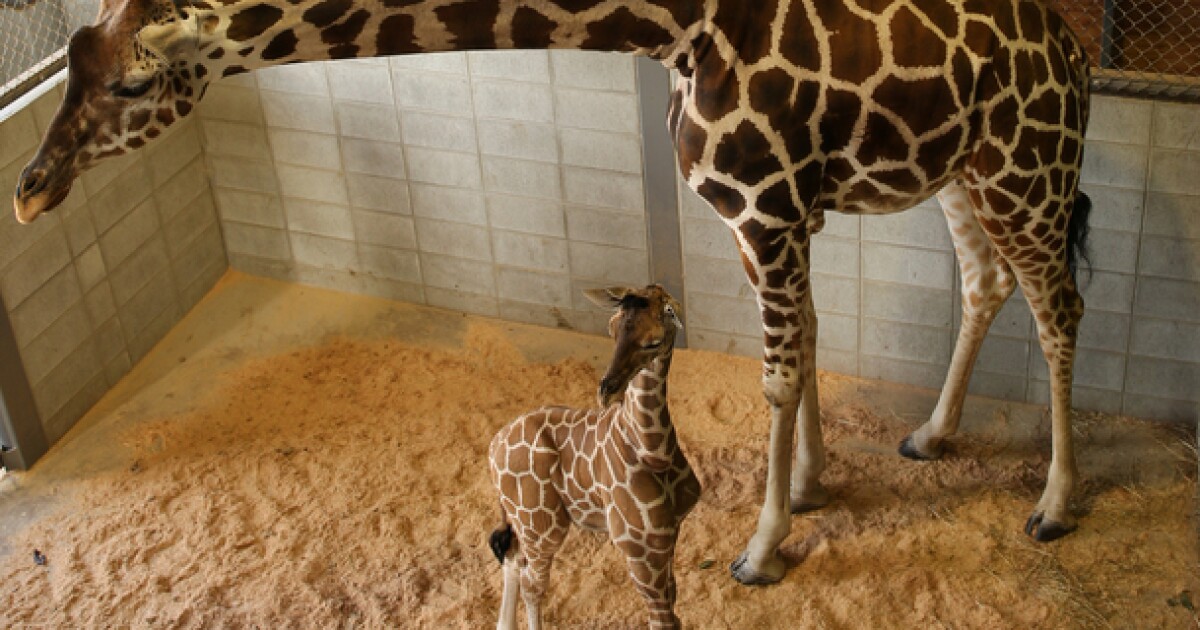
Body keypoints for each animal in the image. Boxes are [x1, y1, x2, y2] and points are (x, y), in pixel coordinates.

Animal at [12, 0, 1094, 586]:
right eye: (69, 63)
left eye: (132, 86)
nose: (28, 190)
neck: (677, 26)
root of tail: (1077, 55)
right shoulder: (776, 213)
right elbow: (811, 348)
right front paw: (811, 485)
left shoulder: (766, 206)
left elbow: (780, 376)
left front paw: (761, 548)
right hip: (964, 170)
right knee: (988, 278)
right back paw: (933, 433)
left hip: (1027, 165)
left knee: (1059, 306)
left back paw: (1052, 506)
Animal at [488, 284, 700, 630]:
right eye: (611, 328)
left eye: (654, 341)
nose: (606, 391)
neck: (653, 451)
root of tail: (492, 449)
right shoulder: (638, 547)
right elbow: (662, 620)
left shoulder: (670, 534)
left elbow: (674, 606)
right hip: (542, 525)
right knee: (533, 582)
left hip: (524, 524)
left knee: (512, 558)